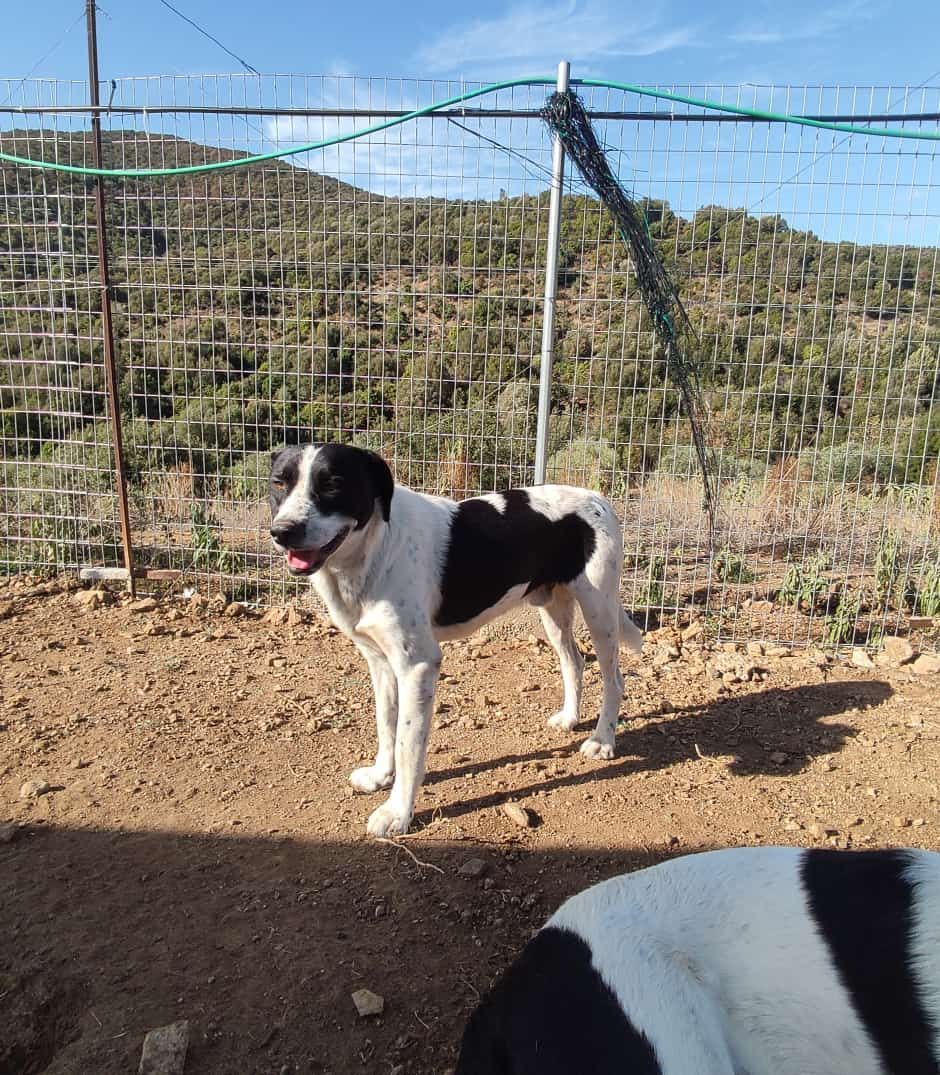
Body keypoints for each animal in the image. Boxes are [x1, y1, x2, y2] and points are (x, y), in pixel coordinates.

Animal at [268, 442, 642, 837]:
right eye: (278, 483)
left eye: (333, 484)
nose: (282, 532)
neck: (375, 548)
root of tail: (597, 497)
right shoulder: (379, 661)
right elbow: (386, 724)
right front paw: (380, 776)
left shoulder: (418, 666)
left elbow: (407, 744)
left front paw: (398, 813)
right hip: (553, 608)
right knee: (574, 661)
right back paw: (570, 718)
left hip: (600, 610)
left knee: (614, 679)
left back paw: (602, 741)